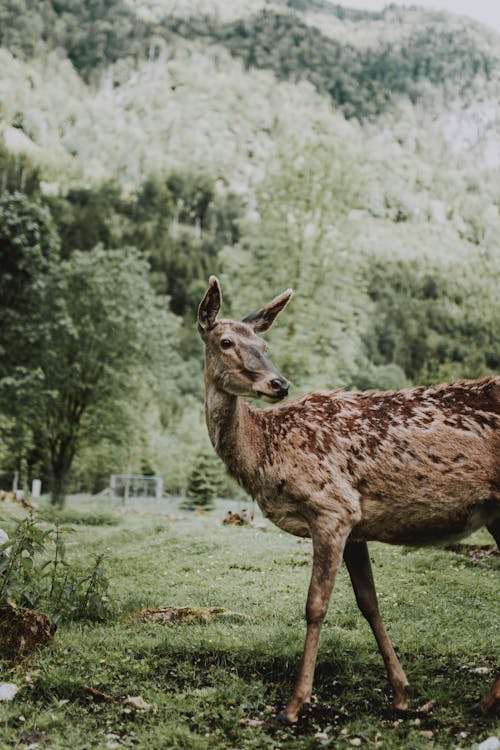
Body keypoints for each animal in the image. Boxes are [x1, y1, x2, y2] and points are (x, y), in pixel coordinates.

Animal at [197, 276, 498, 724]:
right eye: (226, 341)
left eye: (264, 344)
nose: (279, 383)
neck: (267, 451)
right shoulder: (356, 526)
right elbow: (369, 602)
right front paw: (401, 692)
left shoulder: (332, 506)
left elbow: (315, 605)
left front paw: (294, 704)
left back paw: (485, 700)